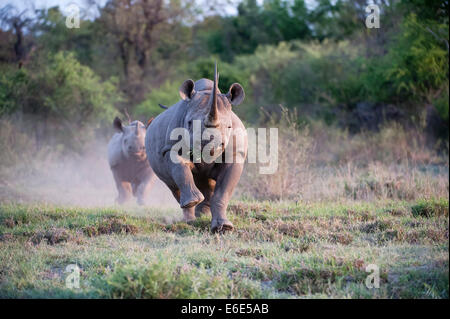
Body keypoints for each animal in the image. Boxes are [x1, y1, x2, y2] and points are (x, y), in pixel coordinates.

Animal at [146, 63, 248, 232]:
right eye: (189, 123)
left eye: (229, 127)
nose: (210, 143)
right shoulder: (170, 148)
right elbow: (181, 171)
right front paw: (193, 201)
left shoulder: (235, 155)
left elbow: (223, 192)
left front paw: (224, 228)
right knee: (173, 186)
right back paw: (190, 219)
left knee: (206, 183)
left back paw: (202, 216)